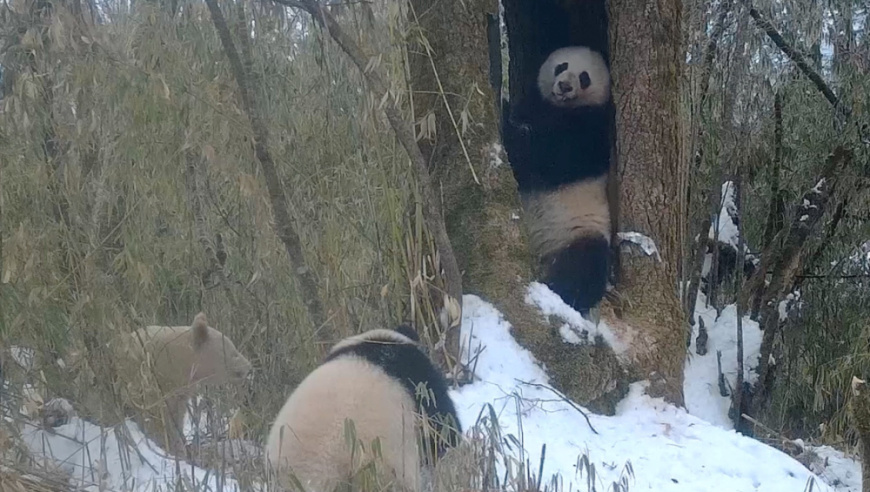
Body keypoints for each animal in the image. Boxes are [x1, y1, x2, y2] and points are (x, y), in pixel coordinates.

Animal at [500, 45, 616, 316]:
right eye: (562, 66)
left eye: (584, 77)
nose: (564, 86)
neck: (561, 109)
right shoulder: (536, 105)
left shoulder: (590, 131)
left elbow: (542, 159)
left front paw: (504, 113)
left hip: (579, 231)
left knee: (584, 267)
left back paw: (558, 293)